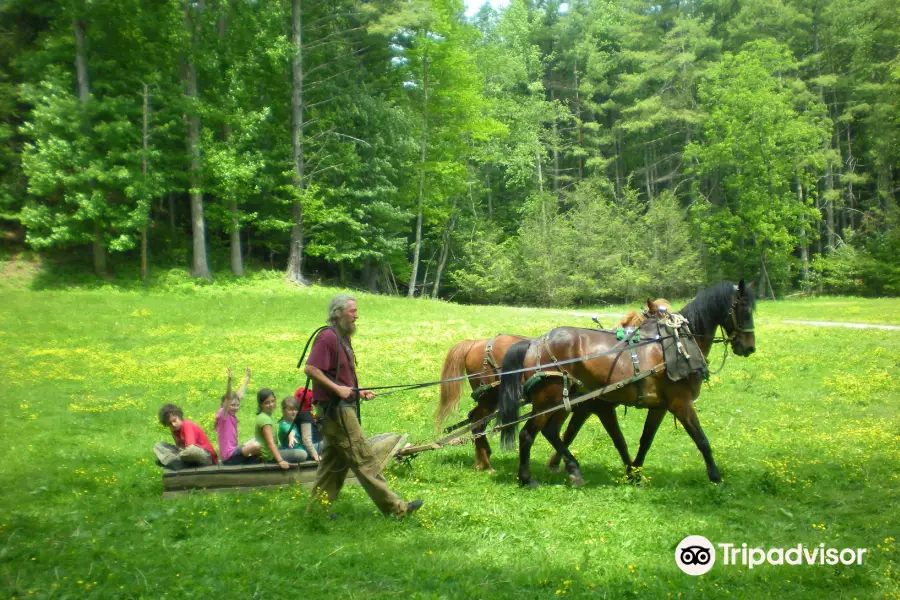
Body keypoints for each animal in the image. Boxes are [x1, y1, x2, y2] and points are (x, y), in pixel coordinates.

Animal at [496, 282, 756, 488]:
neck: (677, 344)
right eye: (743, 309)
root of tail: (535, 342)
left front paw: (635, 473)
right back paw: (527, 478)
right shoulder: (680, 403)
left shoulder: (659, 406)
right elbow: (701, 440)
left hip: (562, 400)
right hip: (547, 400)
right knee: (527, 434)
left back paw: (572, 470)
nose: (749, 347)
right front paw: (716, 477)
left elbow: (644, 440)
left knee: (550, 431)